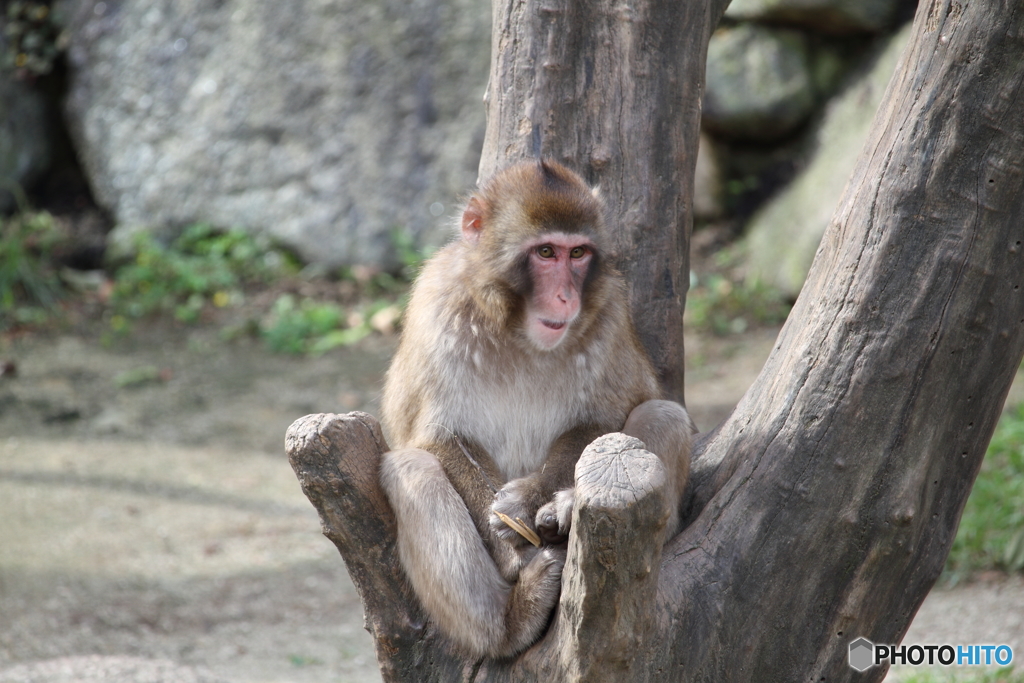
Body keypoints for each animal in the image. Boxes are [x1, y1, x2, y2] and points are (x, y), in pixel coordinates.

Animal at [378, 158, 696, 655]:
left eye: (577, 253)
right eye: (546, 253)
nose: (567, 295)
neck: (516, 329)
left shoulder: (609, 310)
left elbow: (607, 417)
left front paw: (530, 502)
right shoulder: (437, 306)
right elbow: (433, 436)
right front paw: (514, 537)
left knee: (661, 416)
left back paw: (565, 508)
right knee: (411, 468)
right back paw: (511, 622)